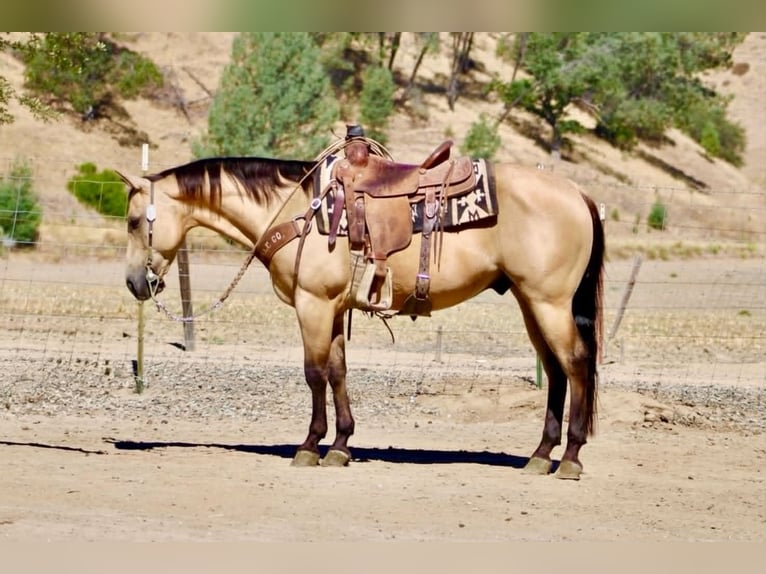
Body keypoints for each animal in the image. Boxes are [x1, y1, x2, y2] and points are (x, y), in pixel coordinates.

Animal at [117, 140, 604, 480]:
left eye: (134, 221)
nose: (135, 282)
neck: (301, 211)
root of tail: (579, 193)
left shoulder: (312, 304)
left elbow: (314, 373)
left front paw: (309, 446)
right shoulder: (332, 307)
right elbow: (338, 372)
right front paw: (340, 446)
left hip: (548, 302)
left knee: (576, 363)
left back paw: (571, 458)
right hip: (529, 301)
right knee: (555, 371)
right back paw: (540, 456)